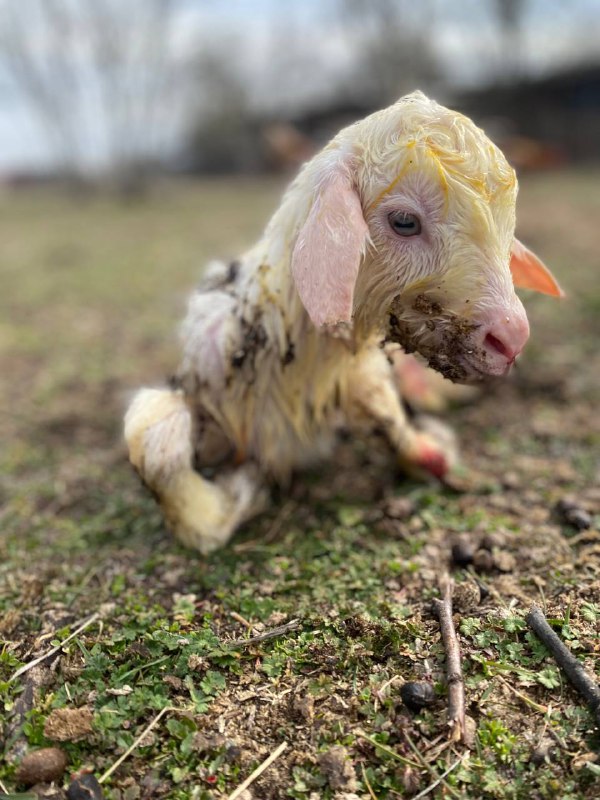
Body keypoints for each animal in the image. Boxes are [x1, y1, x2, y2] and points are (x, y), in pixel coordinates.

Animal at [123, 87, 564, 552]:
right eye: (404, 221)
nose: (512, 339)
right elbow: (156, 449)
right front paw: (241, 491)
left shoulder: (361, 376)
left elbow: (409, 434)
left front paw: (431, 442)